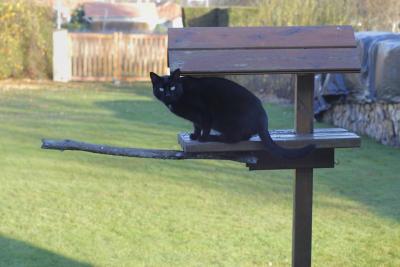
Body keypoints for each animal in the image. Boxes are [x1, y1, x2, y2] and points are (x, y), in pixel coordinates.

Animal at [148, 68, 314, 159]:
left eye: (173, 87)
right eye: (161, 89)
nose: (168, 95)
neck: (181, 95)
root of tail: (263, 118)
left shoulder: (205, 111)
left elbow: (205, 125)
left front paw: (202, 138)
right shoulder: (196, 118)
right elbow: (197, 125)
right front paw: (195, 135)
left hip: (228, 120)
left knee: (233, 139)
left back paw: (214, 137)